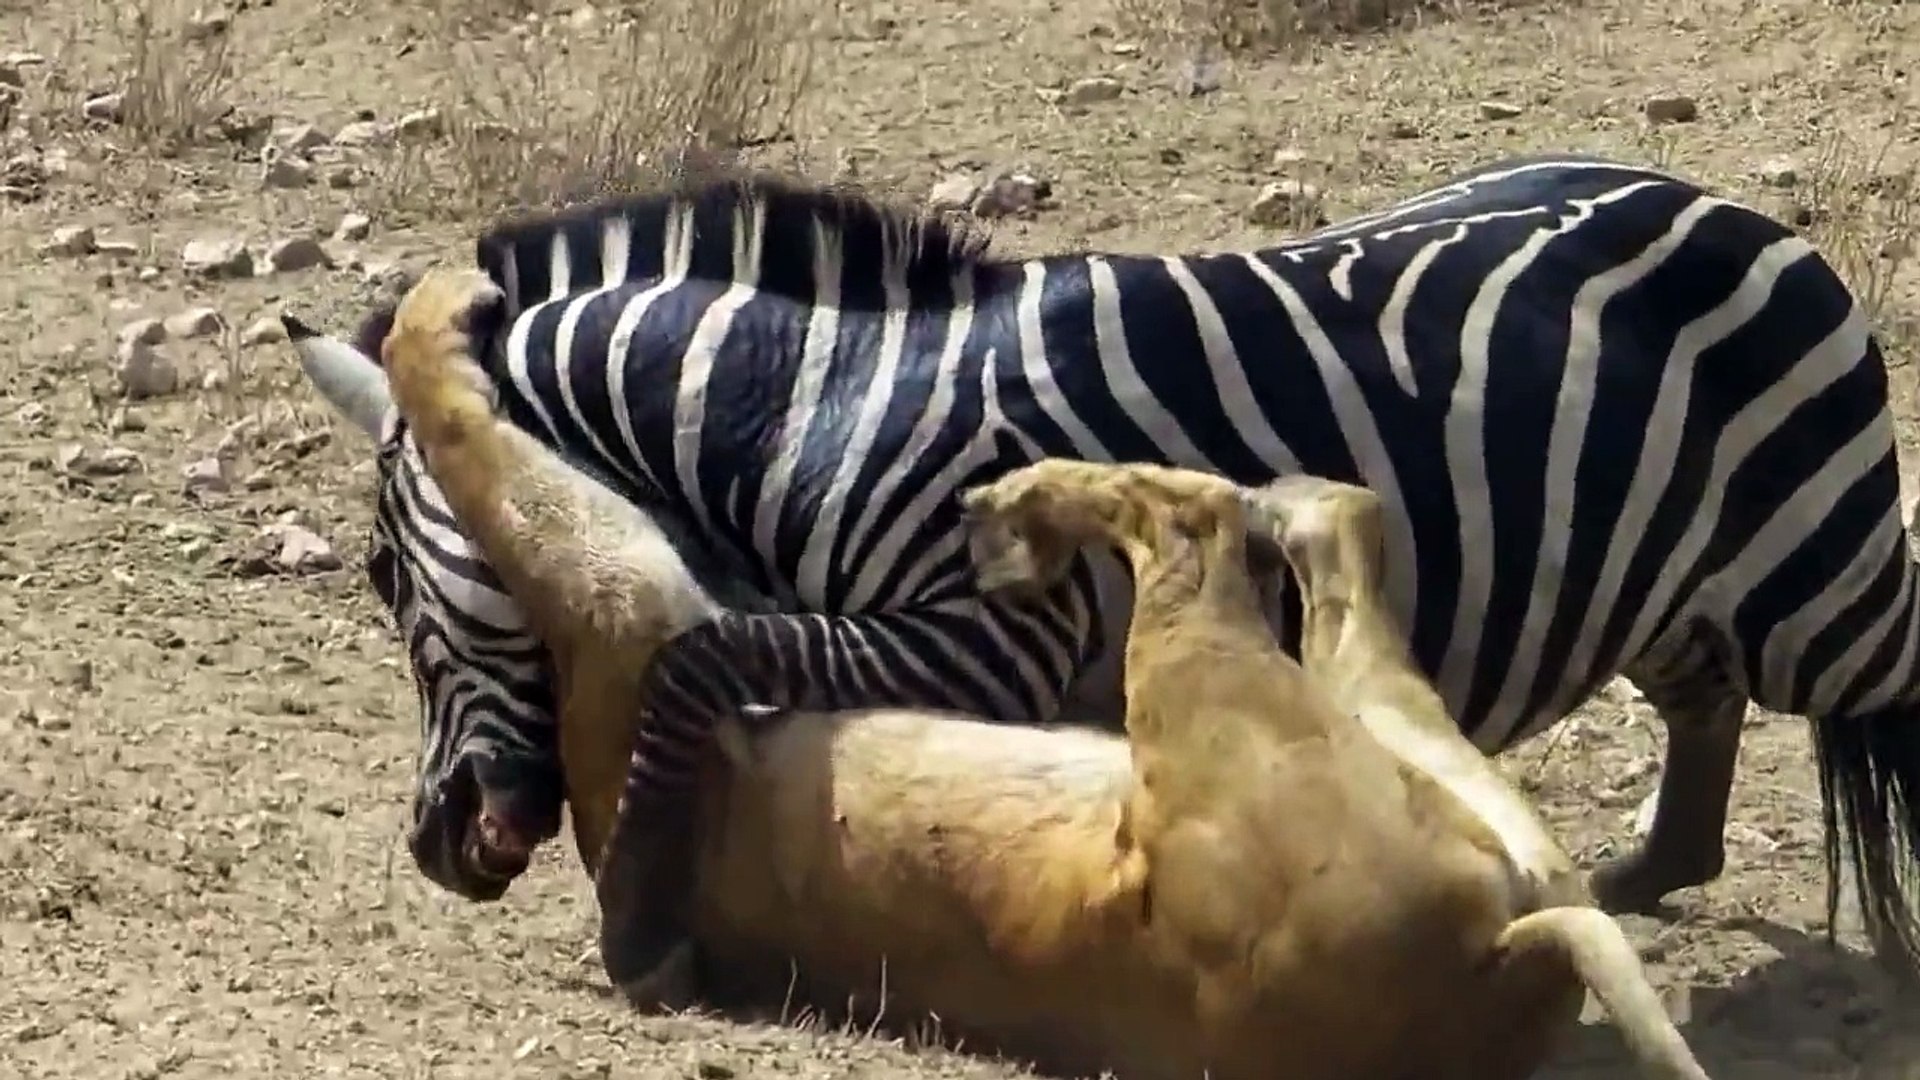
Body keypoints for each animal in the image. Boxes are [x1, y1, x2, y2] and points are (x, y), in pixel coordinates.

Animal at [292, 154, 1920, 982]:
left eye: (380, 575)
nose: (437, 847)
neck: (808, 419)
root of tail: (1729, 203)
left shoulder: (994, 629)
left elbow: (702, 660)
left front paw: (639, 916)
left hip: (1816, 581)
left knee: (1873, 689)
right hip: (1662, 583)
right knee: (1701, 700)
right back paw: (1638, 876)